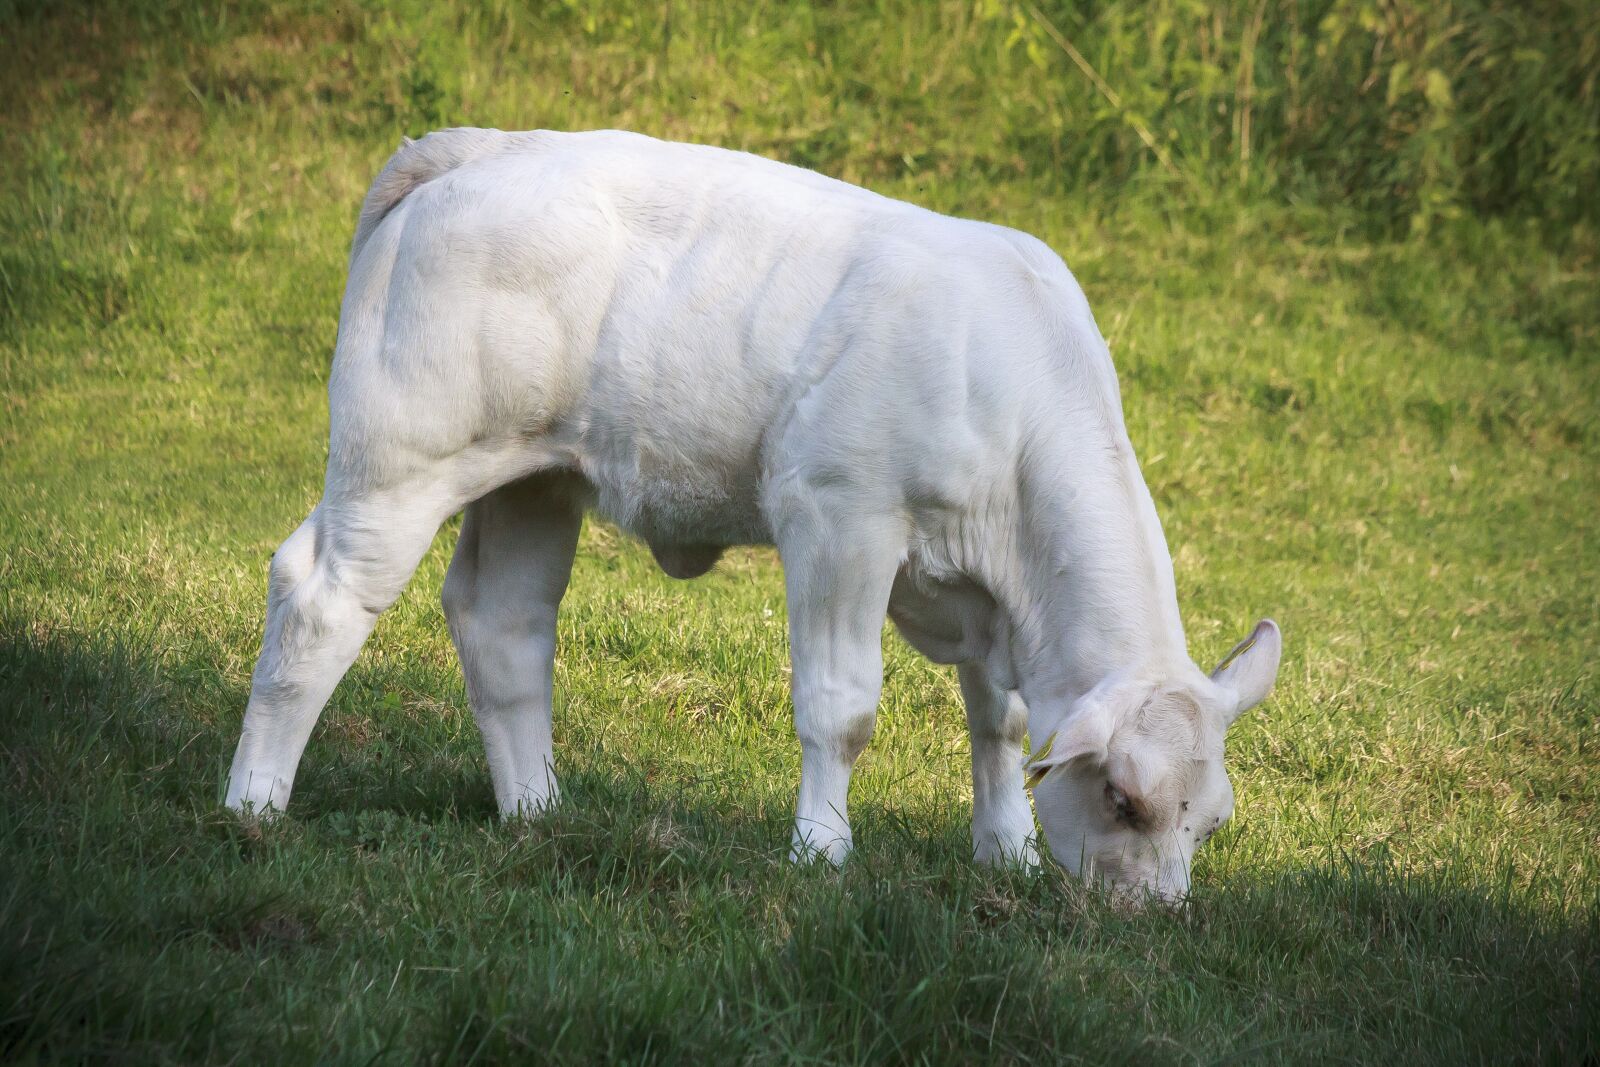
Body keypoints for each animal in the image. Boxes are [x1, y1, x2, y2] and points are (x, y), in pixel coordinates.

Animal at [224, 127, 1281, 902]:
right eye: (1124, 798)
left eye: (1210, 819)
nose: (1150, 913)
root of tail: (479, 147)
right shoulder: (839, 517)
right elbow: (842, 708)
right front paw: (821, 852)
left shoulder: (989, 594)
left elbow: (1003, 723)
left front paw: (1006, 852)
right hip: (400, 459)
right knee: (318, 599)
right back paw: (255, 805)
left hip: (534, 477)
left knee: (505, 623)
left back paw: (537, 811)